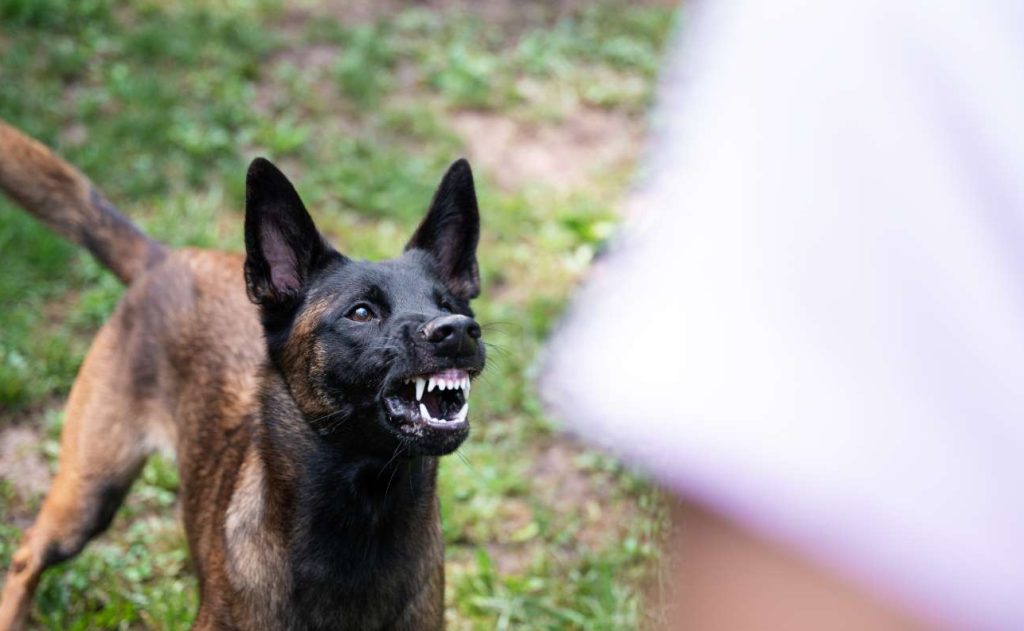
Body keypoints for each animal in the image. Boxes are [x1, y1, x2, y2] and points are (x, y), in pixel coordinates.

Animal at [0, 119, 485, 631]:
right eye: (361, 312)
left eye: (449, 304)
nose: (458, 331)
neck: (365, 512)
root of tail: (162, 259)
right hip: (90, 490)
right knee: (28, 553)